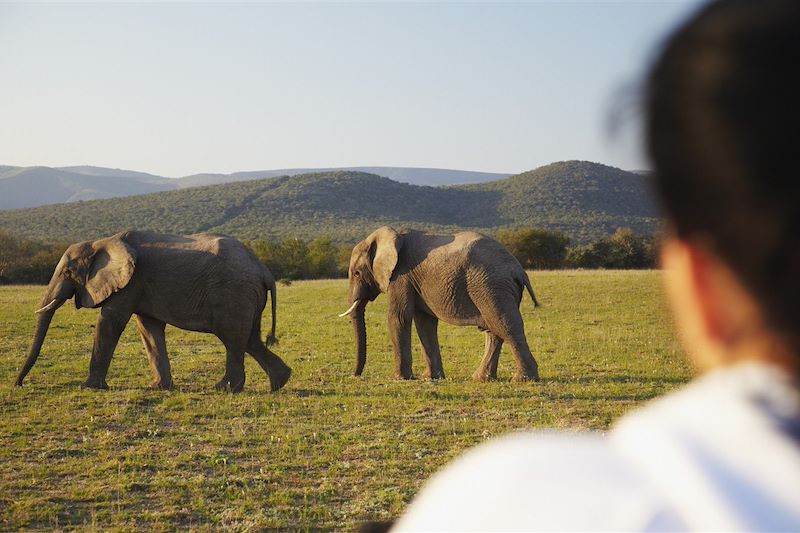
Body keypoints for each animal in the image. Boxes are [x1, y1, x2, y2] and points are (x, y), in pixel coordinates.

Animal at [14, 229, 290, 390]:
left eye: (68, 272)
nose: (19, 384)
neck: (102, 241)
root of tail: (264, 270)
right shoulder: (140, 285)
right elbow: (148, 328)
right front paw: (158, 387)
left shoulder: (131, 281)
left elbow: (110, 322)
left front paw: (89, 388)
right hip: (247, 297)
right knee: (250, 339)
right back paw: (279, 382)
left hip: (234, 294)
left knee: (233, 339)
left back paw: (224, 388)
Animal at [340, 227, 540, 380]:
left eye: (357, 273)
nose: (355, 375)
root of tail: (519, 270)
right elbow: (425, 323)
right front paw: (431, 378)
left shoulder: (401, 275)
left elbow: (399, 317)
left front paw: (399, 378)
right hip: (492, 288)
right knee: (493, 331)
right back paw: (481, 378)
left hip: (491, 286)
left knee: (505, 326)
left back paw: (523, 379)